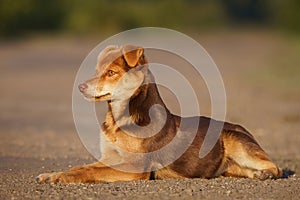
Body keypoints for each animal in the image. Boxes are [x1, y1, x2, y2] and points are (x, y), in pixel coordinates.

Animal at [37, 45, 282, 183]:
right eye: (97, 71)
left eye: (111, 73)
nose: (80, 87)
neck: (119, 119)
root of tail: (245, 130)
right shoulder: (110, 158)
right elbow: (80, 167)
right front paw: (52, 174)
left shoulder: (135, 168)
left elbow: (87, 173)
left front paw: (60, 178)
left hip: (236, 141)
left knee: (276, 167)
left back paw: (266, 174)